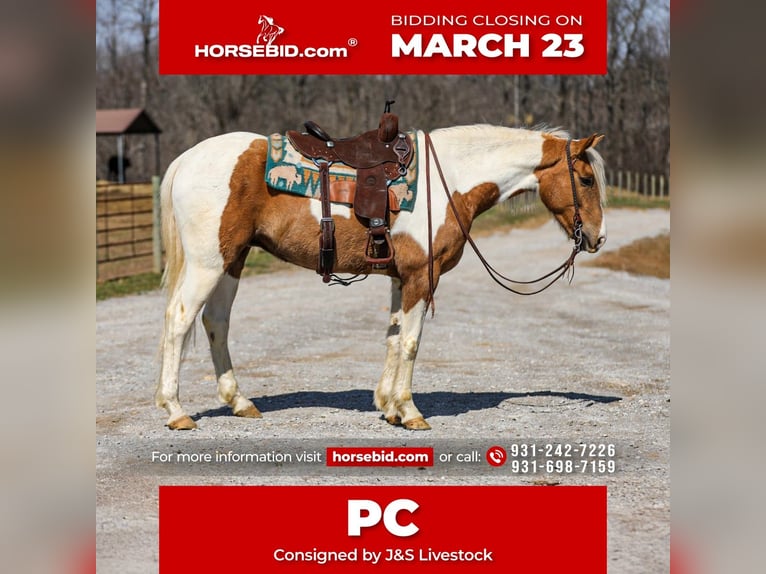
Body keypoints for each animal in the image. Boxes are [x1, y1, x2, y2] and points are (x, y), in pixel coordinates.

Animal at [155, 123, 607, 431]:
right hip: (208, 263)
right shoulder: (422, 277)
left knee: (216, 322)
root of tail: (187, 159)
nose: (598, 237)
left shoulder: (398, 277)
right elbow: (410, 342)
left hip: (232, 260)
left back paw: (240, 402)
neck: (451, 179)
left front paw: (388, 406)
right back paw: (176, 411)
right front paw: (409, 411)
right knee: (179, 320)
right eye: (585, 179)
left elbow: (392, 337)